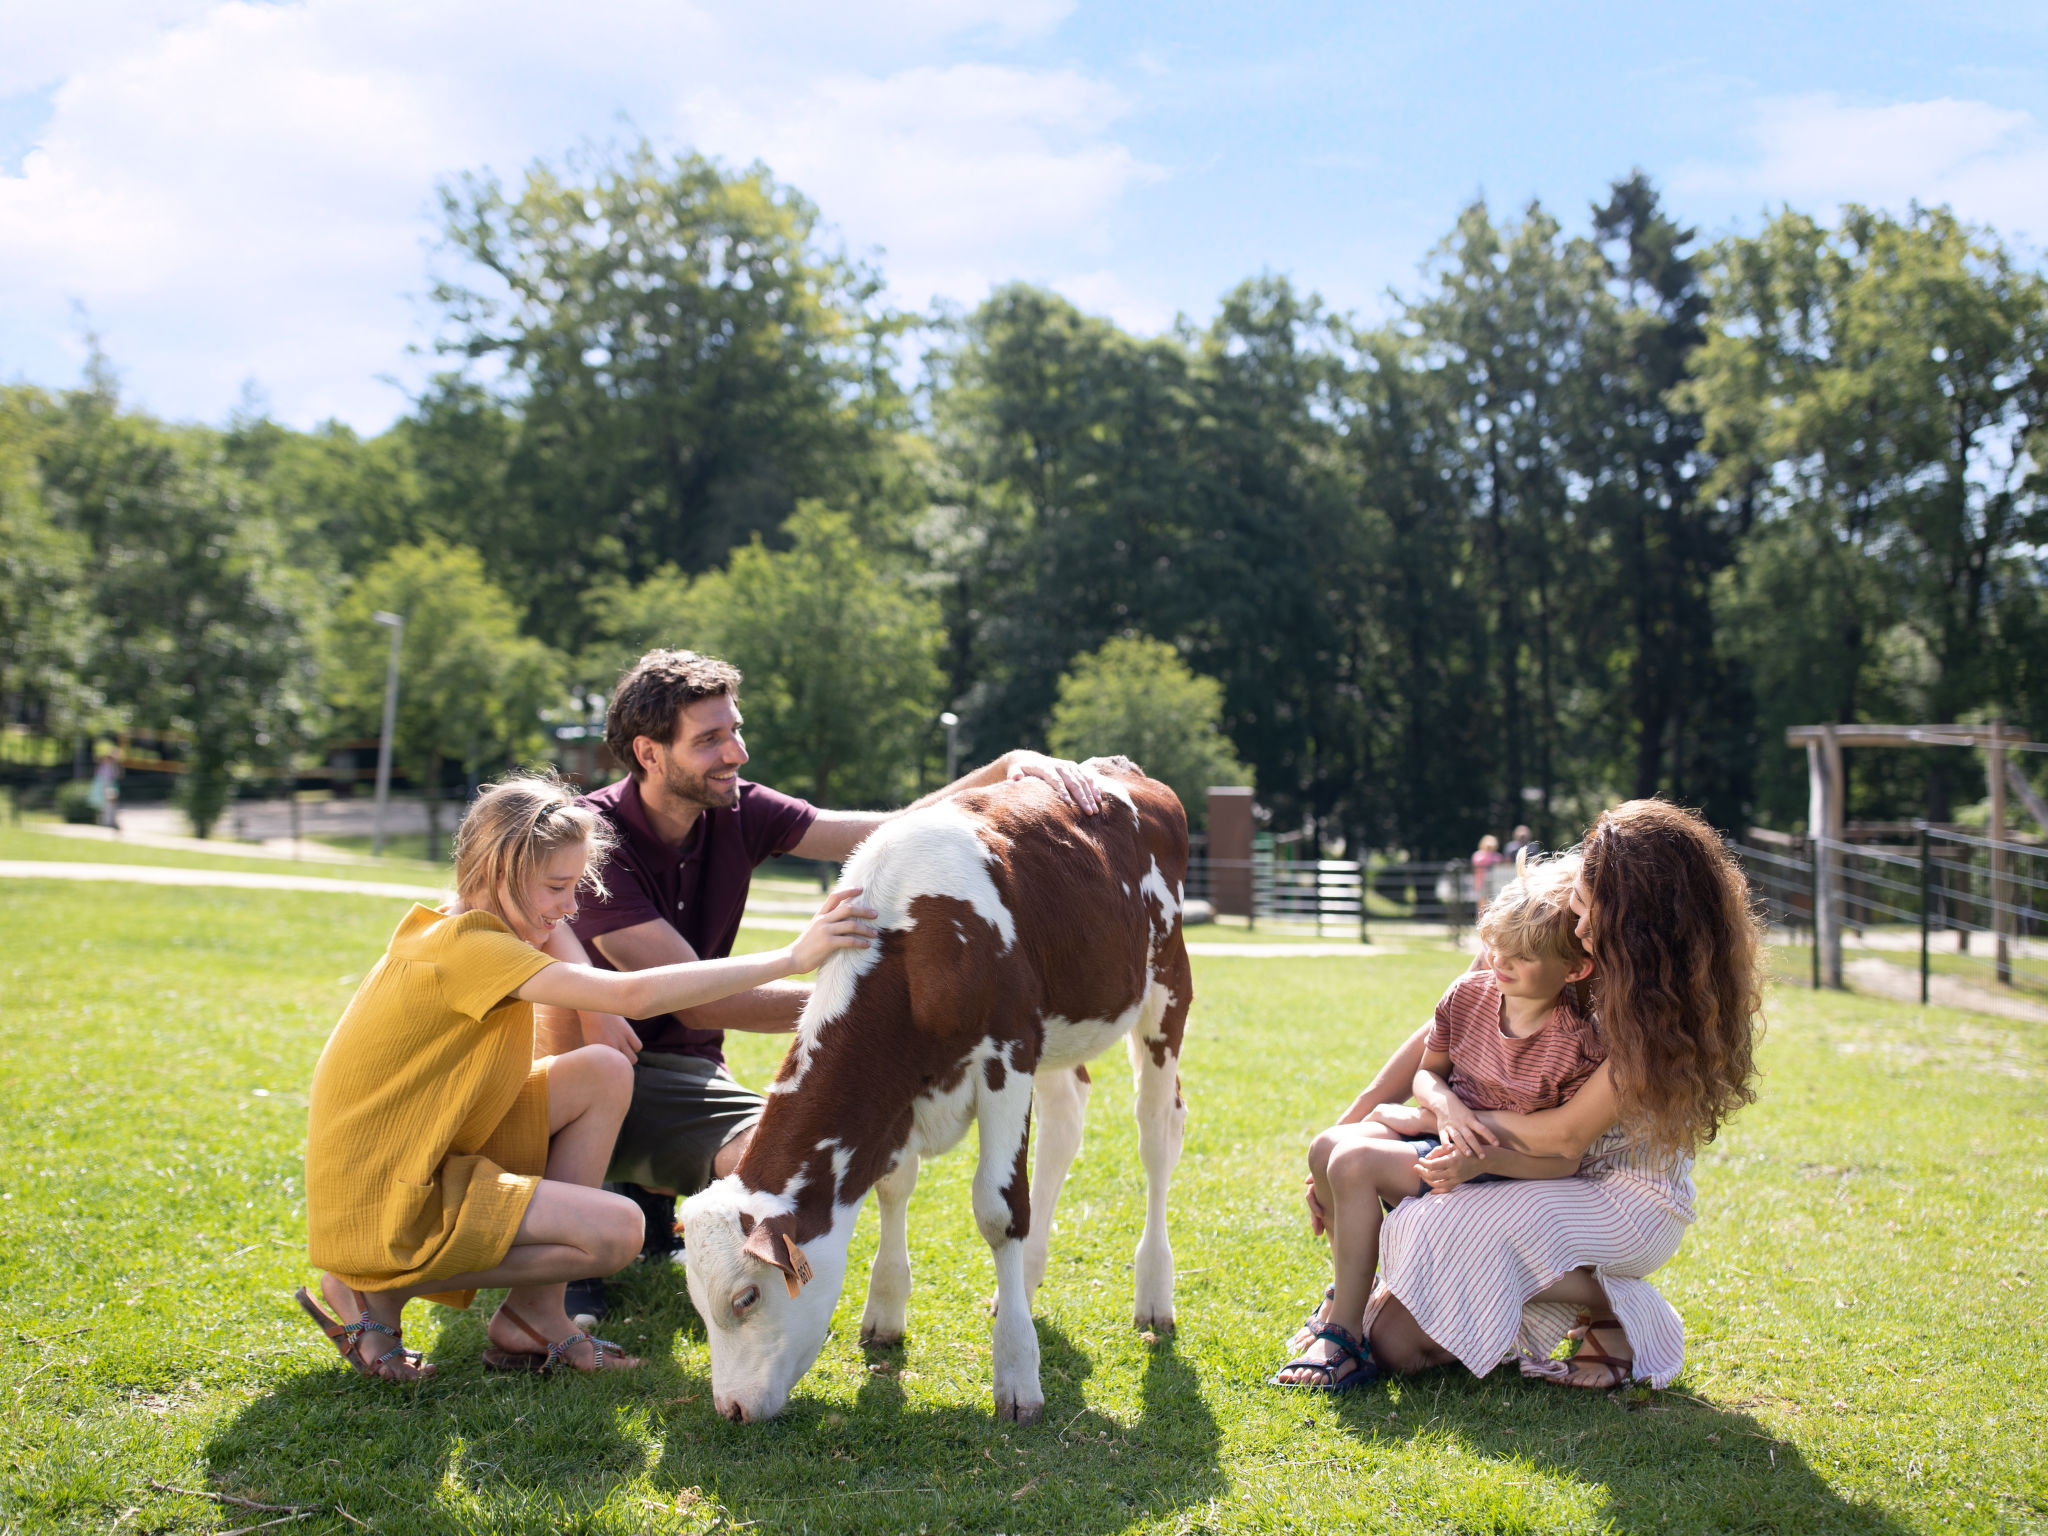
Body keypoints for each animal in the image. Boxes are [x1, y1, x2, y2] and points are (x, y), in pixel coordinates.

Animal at [679, 765, 1196, 1425]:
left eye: (746, 1297)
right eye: (698, 1303)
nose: (732, 1409)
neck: (914, 939)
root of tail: (1122, 768)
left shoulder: (1008, 1054)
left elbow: (1000, 1209)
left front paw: (1017, 1373)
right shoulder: (897, 1097)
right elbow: (893, 1188)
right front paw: (885, 1310)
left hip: (1166, 992)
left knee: (1156, 1134)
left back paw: (1153, 1293)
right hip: (1057, 1032)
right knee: (1064, 1126)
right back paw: (1025, 1282)